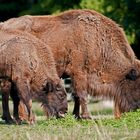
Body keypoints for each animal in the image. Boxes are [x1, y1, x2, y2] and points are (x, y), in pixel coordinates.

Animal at [0, 9, 140, 119]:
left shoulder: (76, 76)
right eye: (137, 84)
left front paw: (77, 115)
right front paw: (87, 116)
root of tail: (4, 24)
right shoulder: (79, 72)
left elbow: (76, 95)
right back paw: (22, 117)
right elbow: (82, 94)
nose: (137, 108)